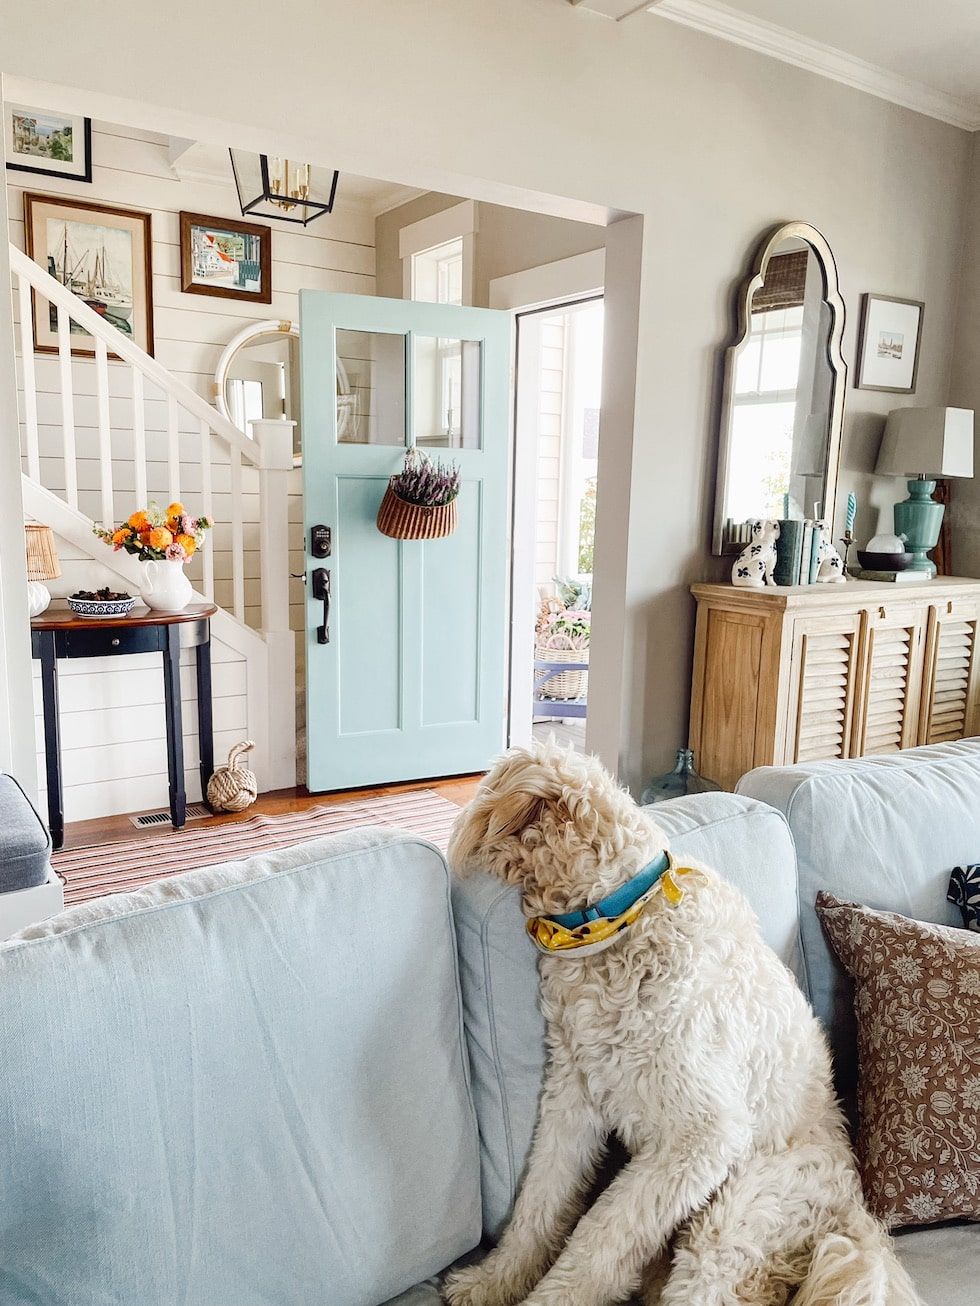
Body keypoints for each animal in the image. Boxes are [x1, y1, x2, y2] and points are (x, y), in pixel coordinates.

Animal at [444, 747, 919, 1306]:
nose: (452, 840)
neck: (620, 920)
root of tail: (855, 1208)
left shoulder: (700, 1138)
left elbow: (601, 1237)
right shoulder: (574, 1096)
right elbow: (540, 1203)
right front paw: (493, 1280)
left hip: (734, 1218)